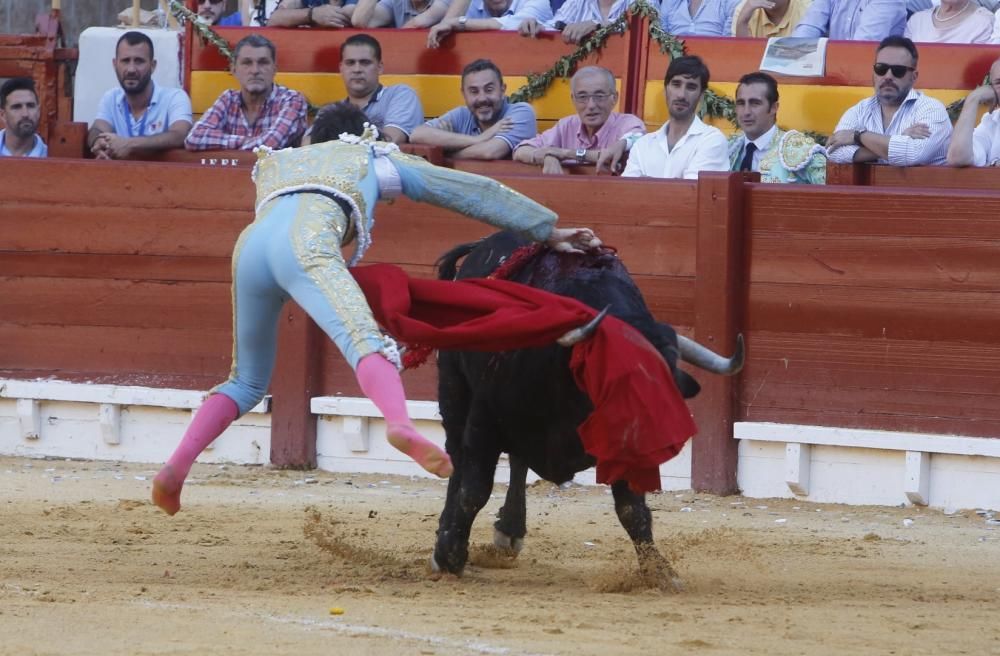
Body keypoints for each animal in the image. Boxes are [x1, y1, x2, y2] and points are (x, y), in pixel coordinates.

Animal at [430, 233, 744, 592]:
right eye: (618, 370)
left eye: (667, 374)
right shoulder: (485, 422)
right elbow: (474, 490)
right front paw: (449, 553)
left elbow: (631, 508)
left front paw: (659, 571)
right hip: (454, 389)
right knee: (457, 458)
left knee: (518, 462)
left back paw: (509, 530)